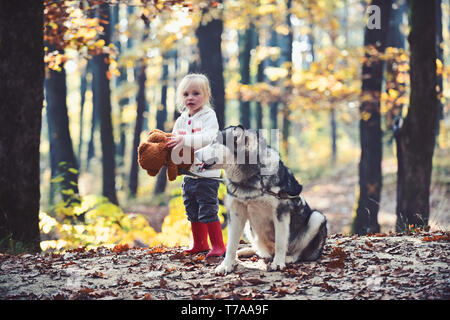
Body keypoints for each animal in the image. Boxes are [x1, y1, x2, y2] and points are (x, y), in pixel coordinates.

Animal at [194, 125, 326, 276]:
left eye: (214, 142)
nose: (194, 153)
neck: (251, 177)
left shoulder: (281, 211)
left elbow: (281, 241)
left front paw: (278, 263)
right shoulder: (237, 212)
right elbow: (231, 244)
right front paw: (226, 265)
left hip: (317, 217)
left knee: (298, 252)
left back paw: (288, 258)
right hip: (249, 227)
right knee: (260, 250)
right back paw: (245, 252)